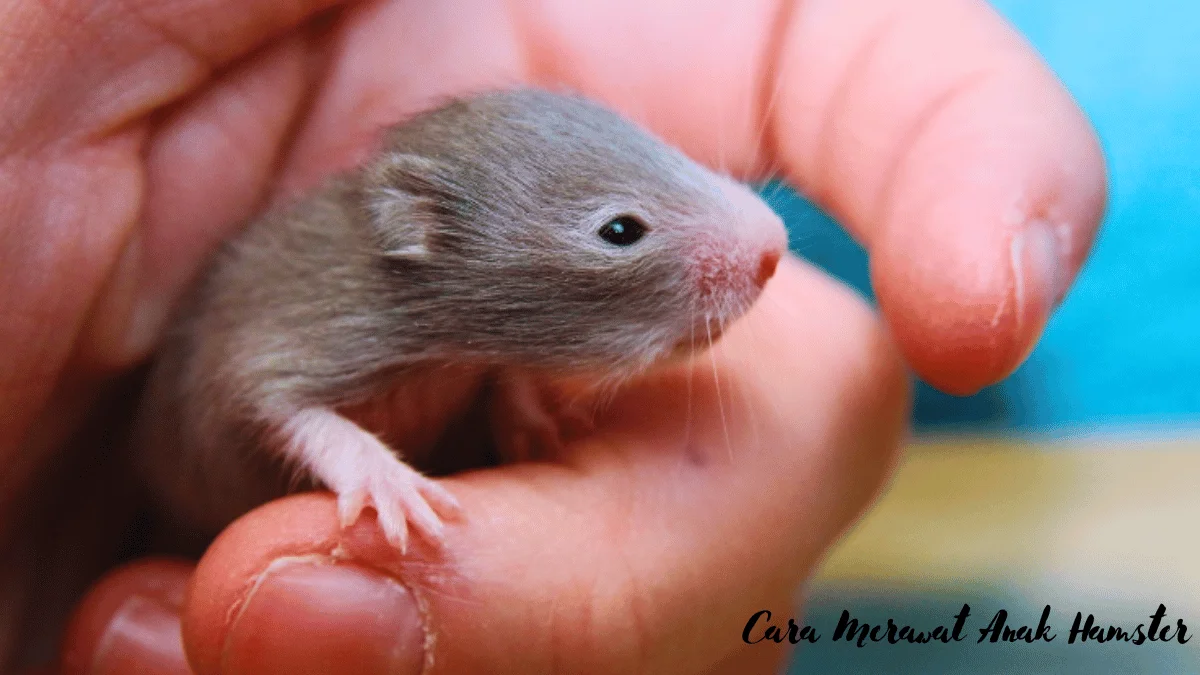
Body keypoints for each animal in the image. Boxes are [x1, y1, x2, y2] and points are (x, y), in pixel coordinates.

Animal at [132, 88, 788, 552]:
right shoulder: (312, 325)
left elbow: (505, 377)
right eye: (620, 230)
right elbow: (280, 404)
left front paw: (534, 418)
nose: (775, 246)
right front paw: (384, 478)